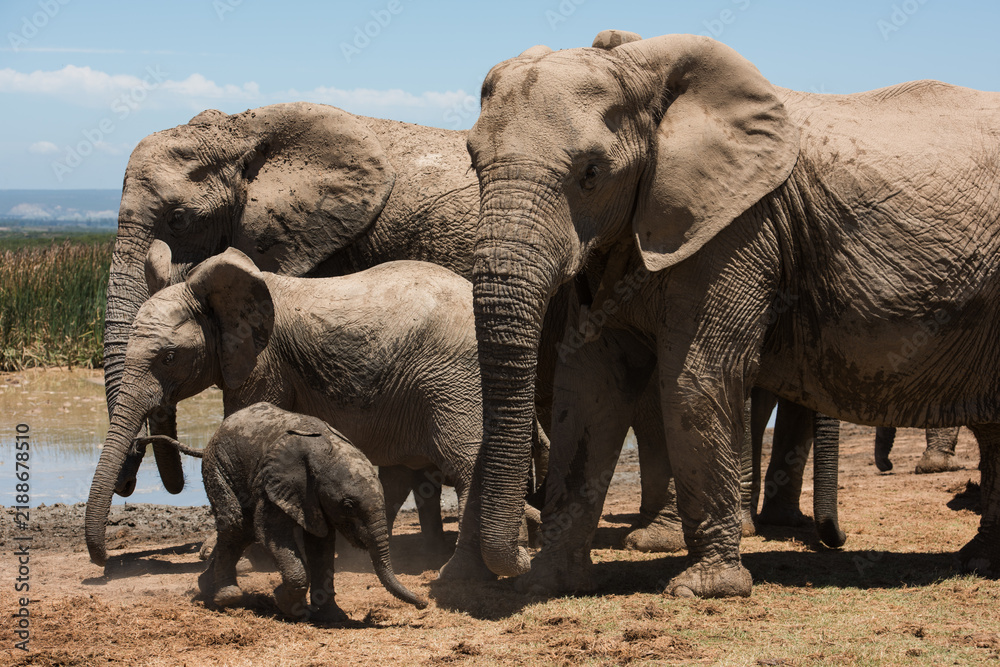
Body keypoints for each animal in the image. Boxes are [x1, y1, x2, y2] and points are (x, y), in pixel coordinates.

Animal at [86, 244, 534, 575]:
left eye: (168, 357)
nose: (105, 561)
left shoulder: (263, 364)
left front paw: (231, 555)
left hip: (452, 376)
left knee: (464, 462)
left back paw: (464, 571)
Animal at [140, 402, 427, 621]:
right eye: (347, 506)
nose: (424, 603)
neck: (326, 451)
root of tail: (214, 434)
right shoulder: (273, 481)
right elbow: (271, 534)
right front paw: (286, 605)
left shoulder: (313, 497)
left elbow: (322, 544)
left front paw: (332, 617)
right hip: (219, 464)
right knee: (236, 524)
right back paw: (227, 597)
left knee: (241, 530)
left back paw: (205, 587)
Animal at [463, 30, 1000, 599]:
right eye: (473, 161)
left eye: (591, 173)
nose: (517, 551)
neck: (642, 69)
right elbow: (589, 389)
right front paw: (547, 583)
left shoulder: (739, 228)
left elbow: (697, 377)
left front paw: (701, 589)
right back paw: (980, 560)